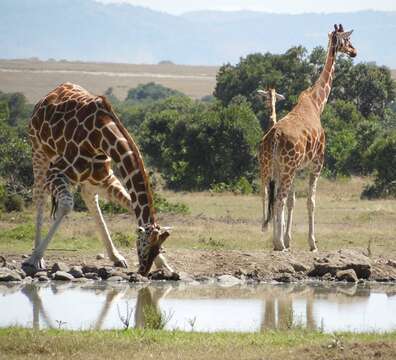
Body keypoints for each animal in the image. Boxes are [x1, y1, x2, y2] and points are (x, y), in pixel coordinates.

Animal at [23, 82, 174, 276]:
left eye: (159, 248)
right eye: (145, 246)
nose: (142, 271)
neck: (101, 136)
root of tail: (48, 96)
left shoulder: (105, 178)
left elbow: (129, 204)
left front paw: (166, 266)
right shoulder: (55, 172)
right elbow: (66, 206)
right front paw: (35, 257)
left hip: (91, 177)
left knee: (89, 197)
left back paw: (116, 257)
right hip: (39, 151)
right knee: (39, 196)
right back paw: (36, 258)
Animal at [258, 24, 358, 250]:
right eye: (347, 40)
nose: (354, 52)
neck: (317, 103)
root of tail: (274, 137)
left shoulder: (298, 169)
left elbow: (294, 201)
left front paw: (289, 239)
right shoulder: (317, 164)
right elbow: (311, 201)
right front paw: (312, 243)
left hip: (273, 167)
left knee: (273, 197)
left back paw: (278, 241)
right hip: (285, 168)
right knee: (278, 199)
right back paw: (279, 244)